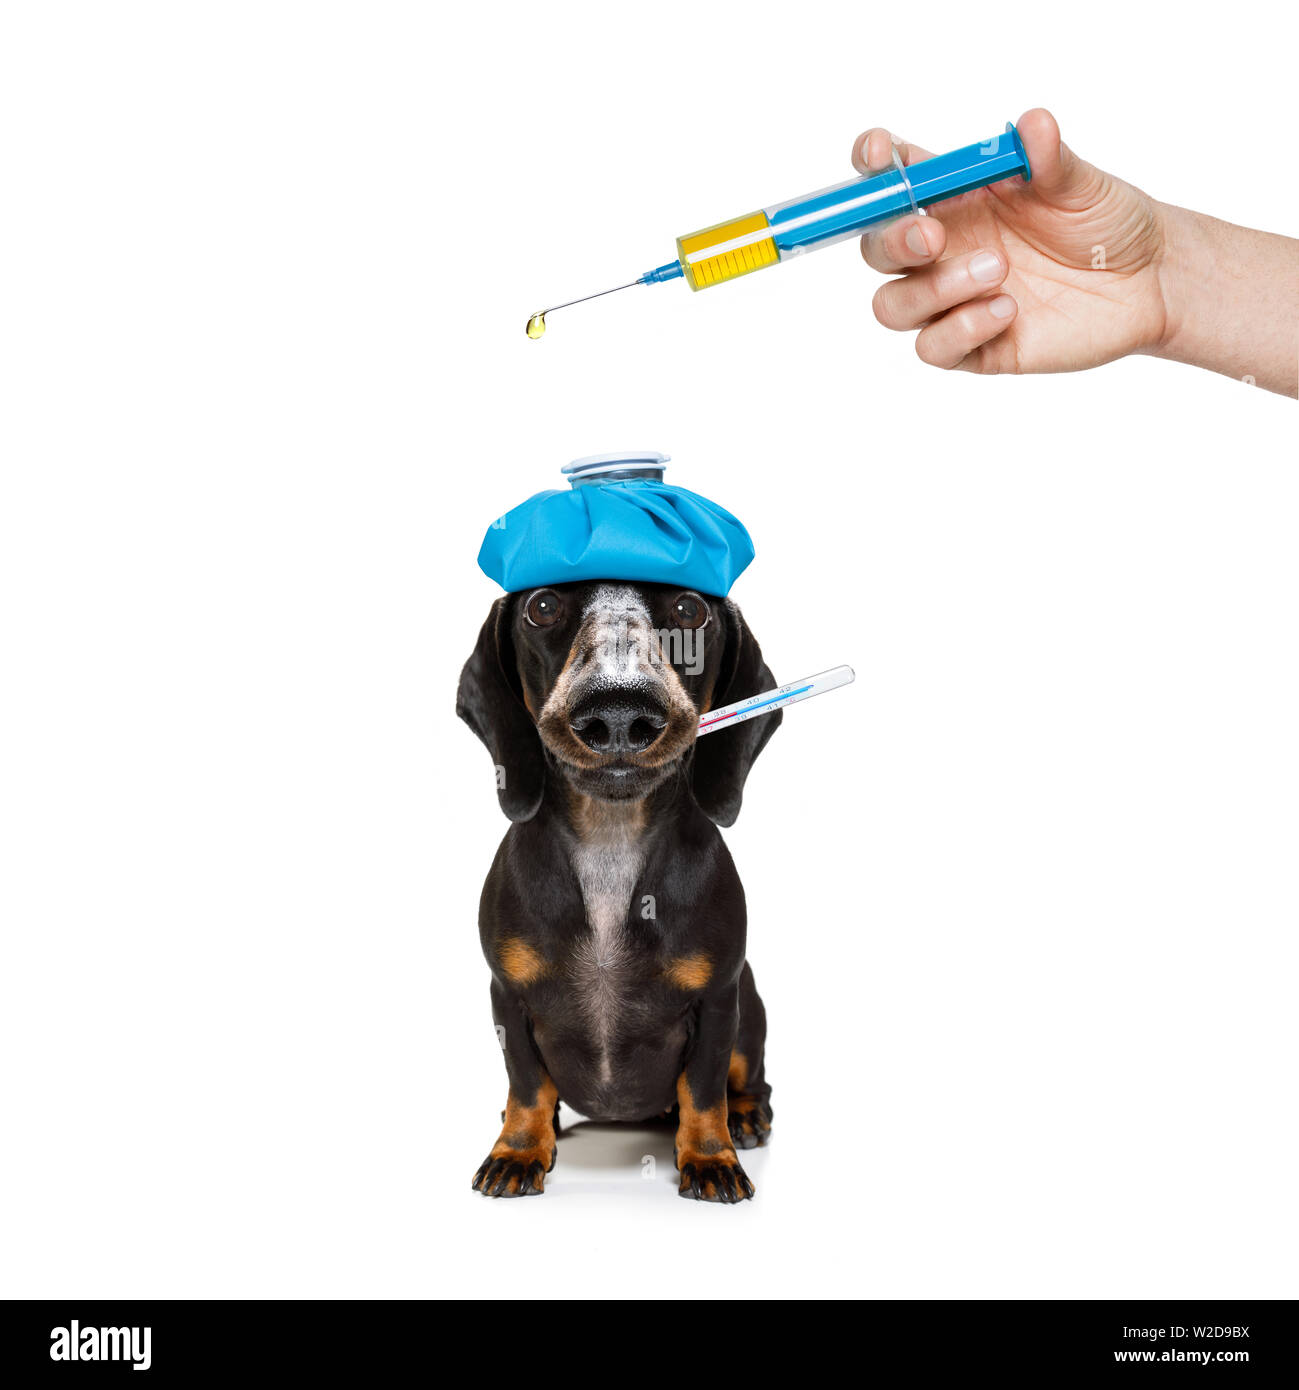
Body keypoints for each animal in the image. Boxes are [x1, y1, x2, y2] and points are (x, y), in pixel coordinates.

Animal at [458, 581, 783, 1200]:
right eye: (541, 606)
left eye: (689, 609)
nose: (617, 710)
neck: (610, 841)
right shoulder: (507, 994)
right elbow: (527, 1084)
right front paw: (519, 1149)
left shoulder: (718, 999)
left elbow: (703, 1088)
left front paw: (710, 1158)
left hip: (749, 1007)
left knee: (749, 1078)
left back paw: (747, 1114)